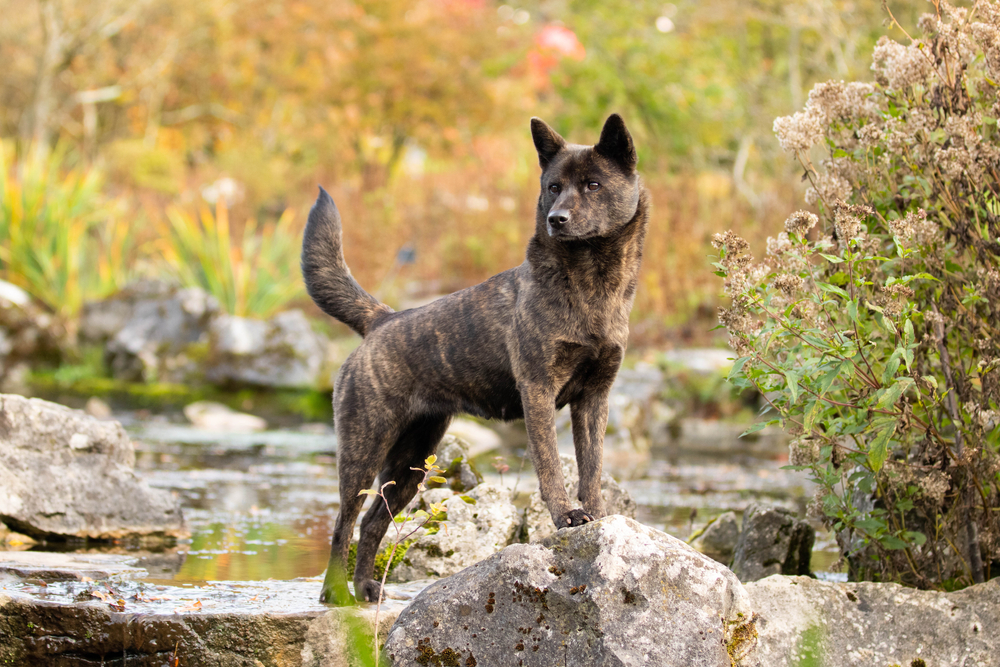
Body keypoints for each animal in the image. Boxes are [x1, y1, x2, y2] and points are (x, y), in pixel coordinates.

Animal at [300, 112, 652, 604]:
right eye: (554, 187)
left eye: (594, 184)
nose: (556, 219)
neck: (589, 286)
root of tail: (383, 320)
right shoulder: (539, 392)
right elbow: (551, 466)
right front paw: (565, 516)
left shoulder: (594, 398)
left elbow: (592, 467)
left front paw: (597, 514)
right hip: (363, 450)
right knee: (343, 523)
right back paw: (334, 592)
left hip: (411, 462)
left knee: (372, 523)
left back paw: (367, 587)